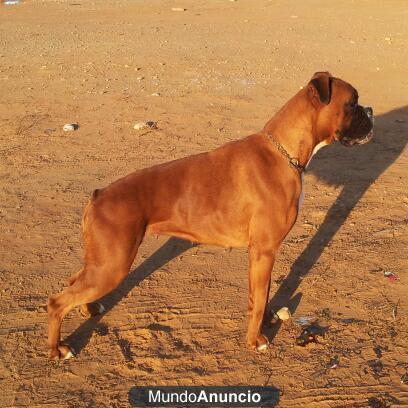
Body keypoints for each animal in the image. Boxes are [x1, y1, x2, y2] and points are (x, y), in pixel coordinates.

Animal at [47, 71, 372, 358]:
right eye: (352, 103)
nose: (369, 110)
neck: (284, 152)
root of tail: (99, 194)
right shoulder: (264, 250)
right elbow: (259, 298)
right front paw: (255, 341)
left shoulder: (260, 253)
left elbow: (260, 294)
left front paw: (264, 320)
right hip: (112, 266)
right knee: (57, 301)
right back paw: (58, 349)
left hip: (102, 262)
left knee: (73, 282)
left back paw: (90, 308)